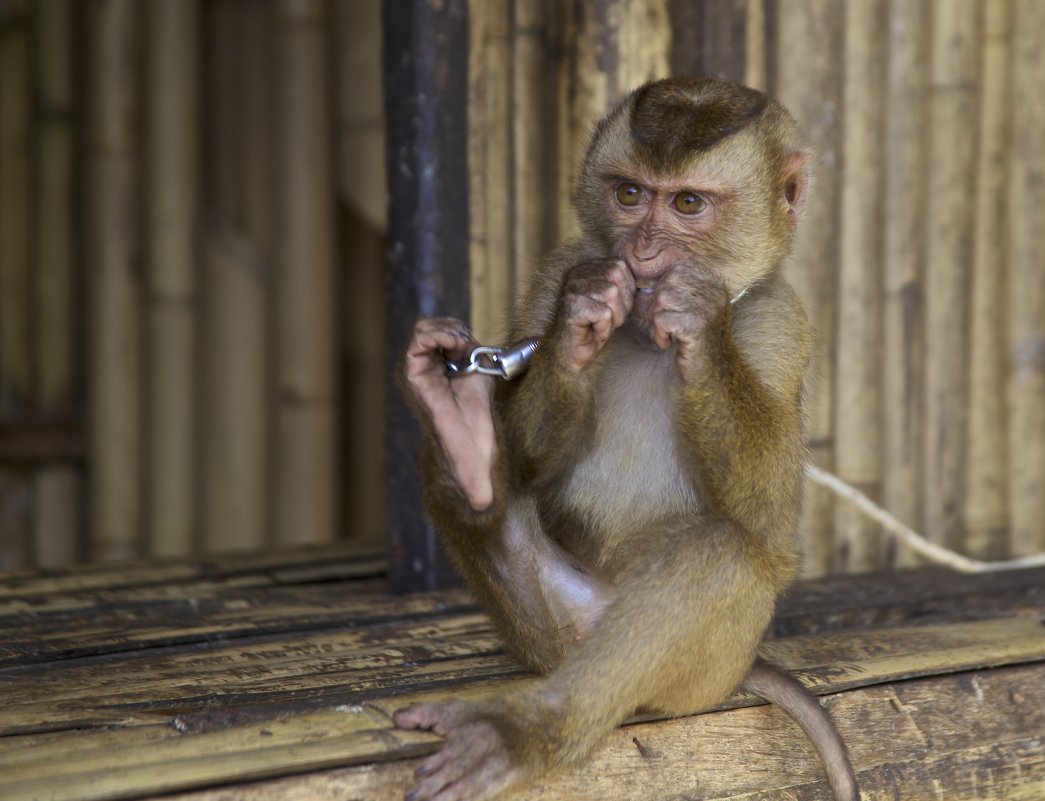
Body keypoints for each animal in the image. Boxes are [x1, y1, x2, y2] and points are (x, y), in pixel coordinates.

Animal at [395, 76, 861, 801]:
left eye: (688, 203)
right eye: (630, 195)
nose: (641, 257)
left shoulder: (782, 320)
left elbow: (766, 523)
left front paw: (699, 322)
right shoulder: (557, 269)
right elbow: (529, 456)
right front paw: (583, 316)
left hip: (706, 671)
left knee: (722, 552)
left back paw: (528, 730)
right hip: (550, 636)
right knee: (479, 498)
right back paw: (465, 445)